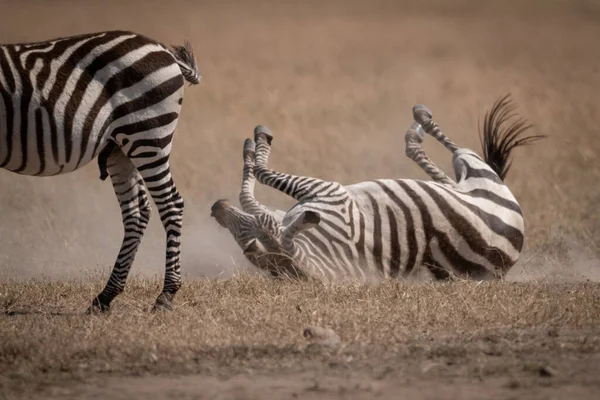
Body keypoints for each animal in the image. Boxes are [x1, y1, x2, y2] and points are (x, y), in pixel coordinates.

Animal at [0, 31, 203, 312]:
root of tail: (162, 49)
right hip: (121, 147)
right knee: (137, 211)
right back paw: (106, 296)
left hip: (147, 135)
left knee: (171, 204)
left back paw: (166, 294)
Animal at [211, 94, 544, 282]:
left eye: (246, 237)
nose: (216, 207)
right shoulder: (329, 196)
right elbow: (260, 178)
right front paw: (257, 143)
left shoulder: (329, 194)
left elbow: (260, 179)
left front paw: (254, 146)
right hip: (475, 169)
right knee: (445, 161)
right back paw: (418, 126)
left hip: (474, 171)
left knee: (450, 165)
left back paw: (419, 123)